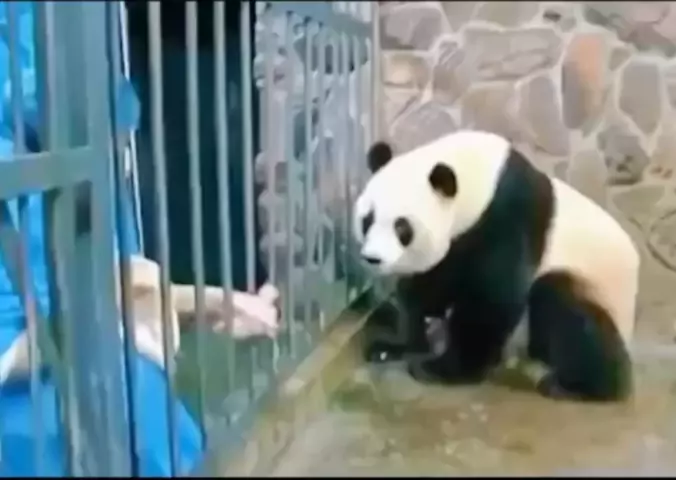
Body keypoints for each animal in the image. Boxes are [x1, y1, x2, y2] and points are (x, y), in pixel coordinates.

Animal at [353, 130, 640, 402]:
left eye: (402, 227)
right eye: (368, 219)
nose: (373, 258)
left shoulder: (506, 217)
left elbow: (492, 297)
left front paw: (443, 369)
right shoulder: (458, 241)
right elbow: (427, 287)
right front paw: (394, 346)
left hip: (597, 290)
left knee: (562, 304)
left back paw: (581, 387)